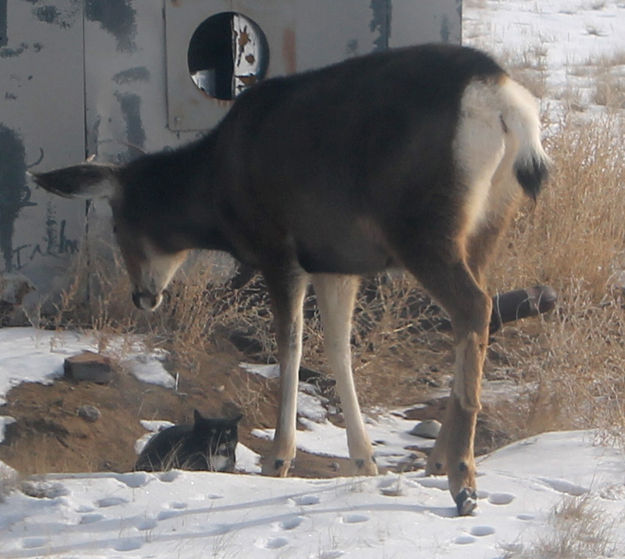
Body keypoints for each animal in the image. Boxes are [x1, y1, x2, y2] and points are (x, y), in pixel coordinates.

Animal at [33, 43, 544, 516]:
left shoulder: (278, 249)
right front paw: (364, 460)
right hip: (489, 223)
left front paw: (279, 458)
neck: (216, 191)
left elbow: (290, 345)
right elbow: (338, 347)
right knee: (477, 313)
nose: (142, 296)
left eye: (118, 225)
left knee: (474, 306)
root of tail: (502, 101)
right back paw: (439, 460)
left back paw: (462, 481)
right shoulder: (335, 260)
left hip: (423, 226)